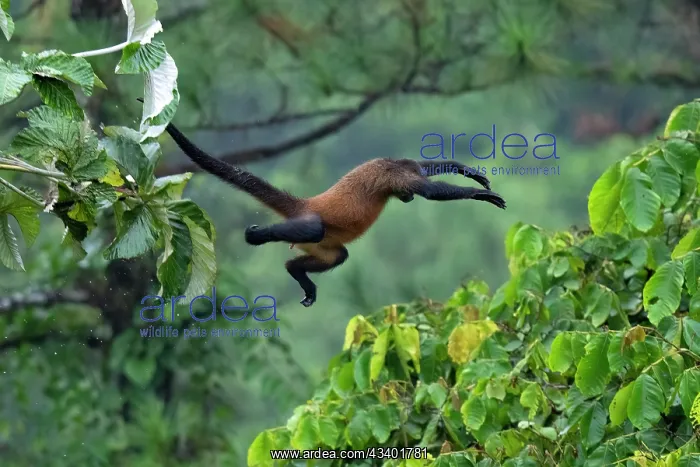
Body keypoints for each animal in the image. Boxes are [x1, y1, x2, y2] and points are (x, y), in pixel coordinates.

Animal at [146, 109, 507, 307]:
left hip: (321, 246)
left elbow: (430, 171)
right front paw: (479, 195)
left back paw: (297, 272)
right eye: (405, 198)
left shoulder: (405, 170)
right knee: (313, 227)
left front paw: (467, 171)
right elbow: (430, 191)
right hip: (308, 220)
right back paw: (256, 236)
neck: (394, 166)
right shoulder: (398, 176)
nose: (407, 201)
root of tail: (307, 202)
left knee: (336, 255)